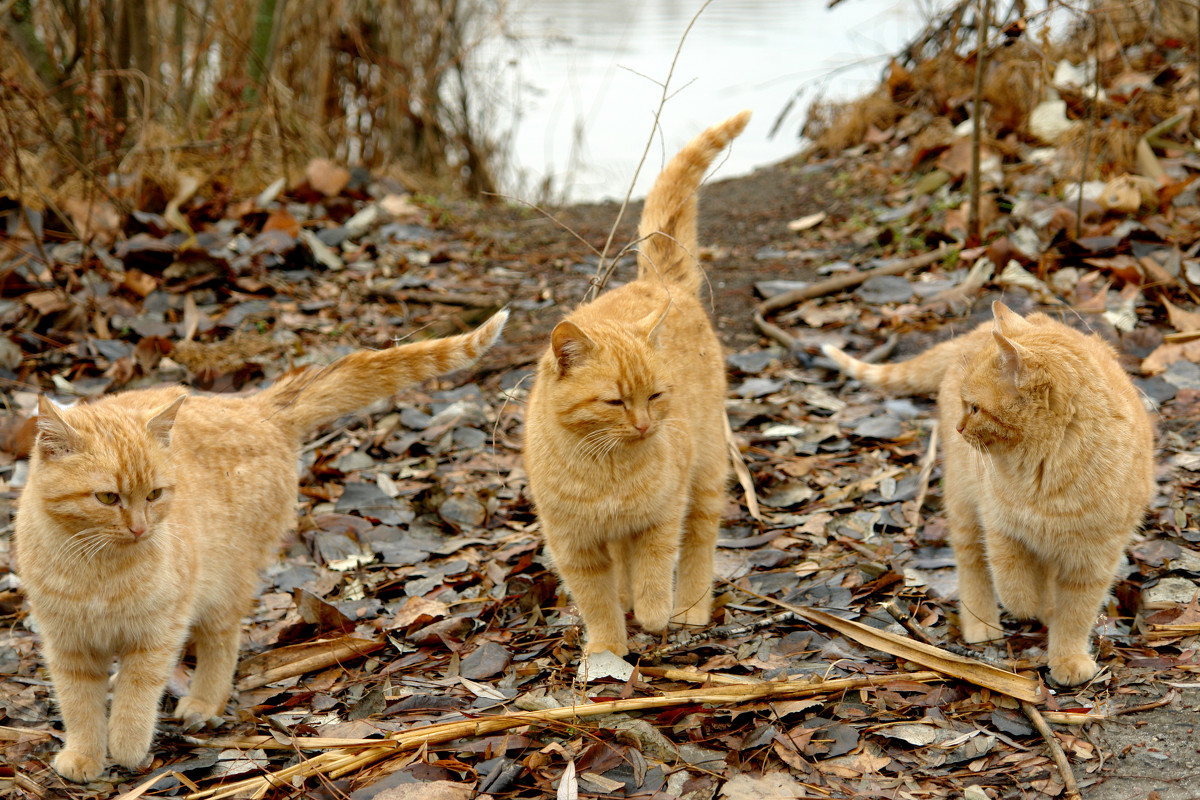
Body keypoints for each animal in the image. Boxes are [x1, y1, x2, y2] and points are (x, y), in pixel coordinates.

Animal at [12, 309, 506, 782]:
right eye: (108, 498)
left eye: (154, 495)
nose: (139, 528)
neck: (97, 568)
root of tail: (254, 407)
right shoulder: (67, 646)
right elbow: (79, 705)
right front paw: (84, 755)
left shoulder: (157, 634)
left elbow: (136, 693)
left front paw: (128, 746)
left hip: (224, 583)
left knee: (222, 642)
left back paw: (203, 703)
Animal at [525, 109, 748, 657]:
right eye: (614, 402)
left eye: (656, 396)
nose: (646, 425)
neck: (605, 472)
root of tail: (658, 282)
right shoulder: (575, 543)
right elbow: (596, 599)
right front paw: (608, 648)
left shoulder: (661, 515)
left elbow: (655, 566)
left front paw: (653, 613)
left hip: (707, 470)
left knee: (698, 543)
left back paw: (689, 610)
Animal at [825, 302, 1152, 690]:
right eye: (965, 404)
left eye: (976, 408)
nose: (959, 427)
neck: (1047, 470)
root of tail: (974, 330)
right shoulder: (999, 527)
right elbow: (1012, 582)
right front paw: (1028, 605)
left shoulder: (1094, 559)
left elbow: (1076, 614)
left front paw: (1068, 656)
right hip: (963, 502)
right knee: (972, 564)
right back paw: (982, 623)